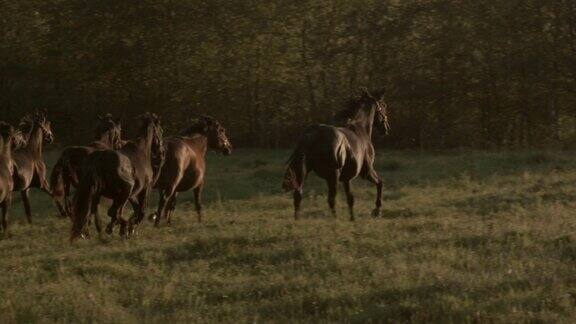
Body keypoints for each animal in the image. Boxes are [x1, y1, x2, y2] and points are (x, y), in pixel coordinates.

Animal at [71, 112, 164, 240]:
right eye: (161, 131)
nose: (161, 152)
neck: (141, 150)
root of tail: (99, 157)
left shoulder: (130, 195)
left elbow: (133, 209)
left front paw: (123, 227)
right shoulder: (145, 189)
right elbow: (141, 212)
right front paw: (131, 228)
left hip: (97, 193)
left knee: (98, 212)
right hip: (123, 191)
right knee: (112, 212)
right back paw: (122, 228)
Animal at [282, 88, 390, 220]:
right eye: (383, 106)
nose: (386, 129)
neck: (360, 130)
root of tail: (313, 134)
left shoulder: (347, 178)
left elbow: (350, 199)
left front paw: (352, 218)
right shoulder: (367, 171)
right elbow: (380, 183)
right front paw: (377, 210)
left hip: (304, 171)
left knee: (298, 195)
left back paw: (297, 220)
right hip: (333, 175)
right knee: (331, 199)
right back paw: (335, 220)